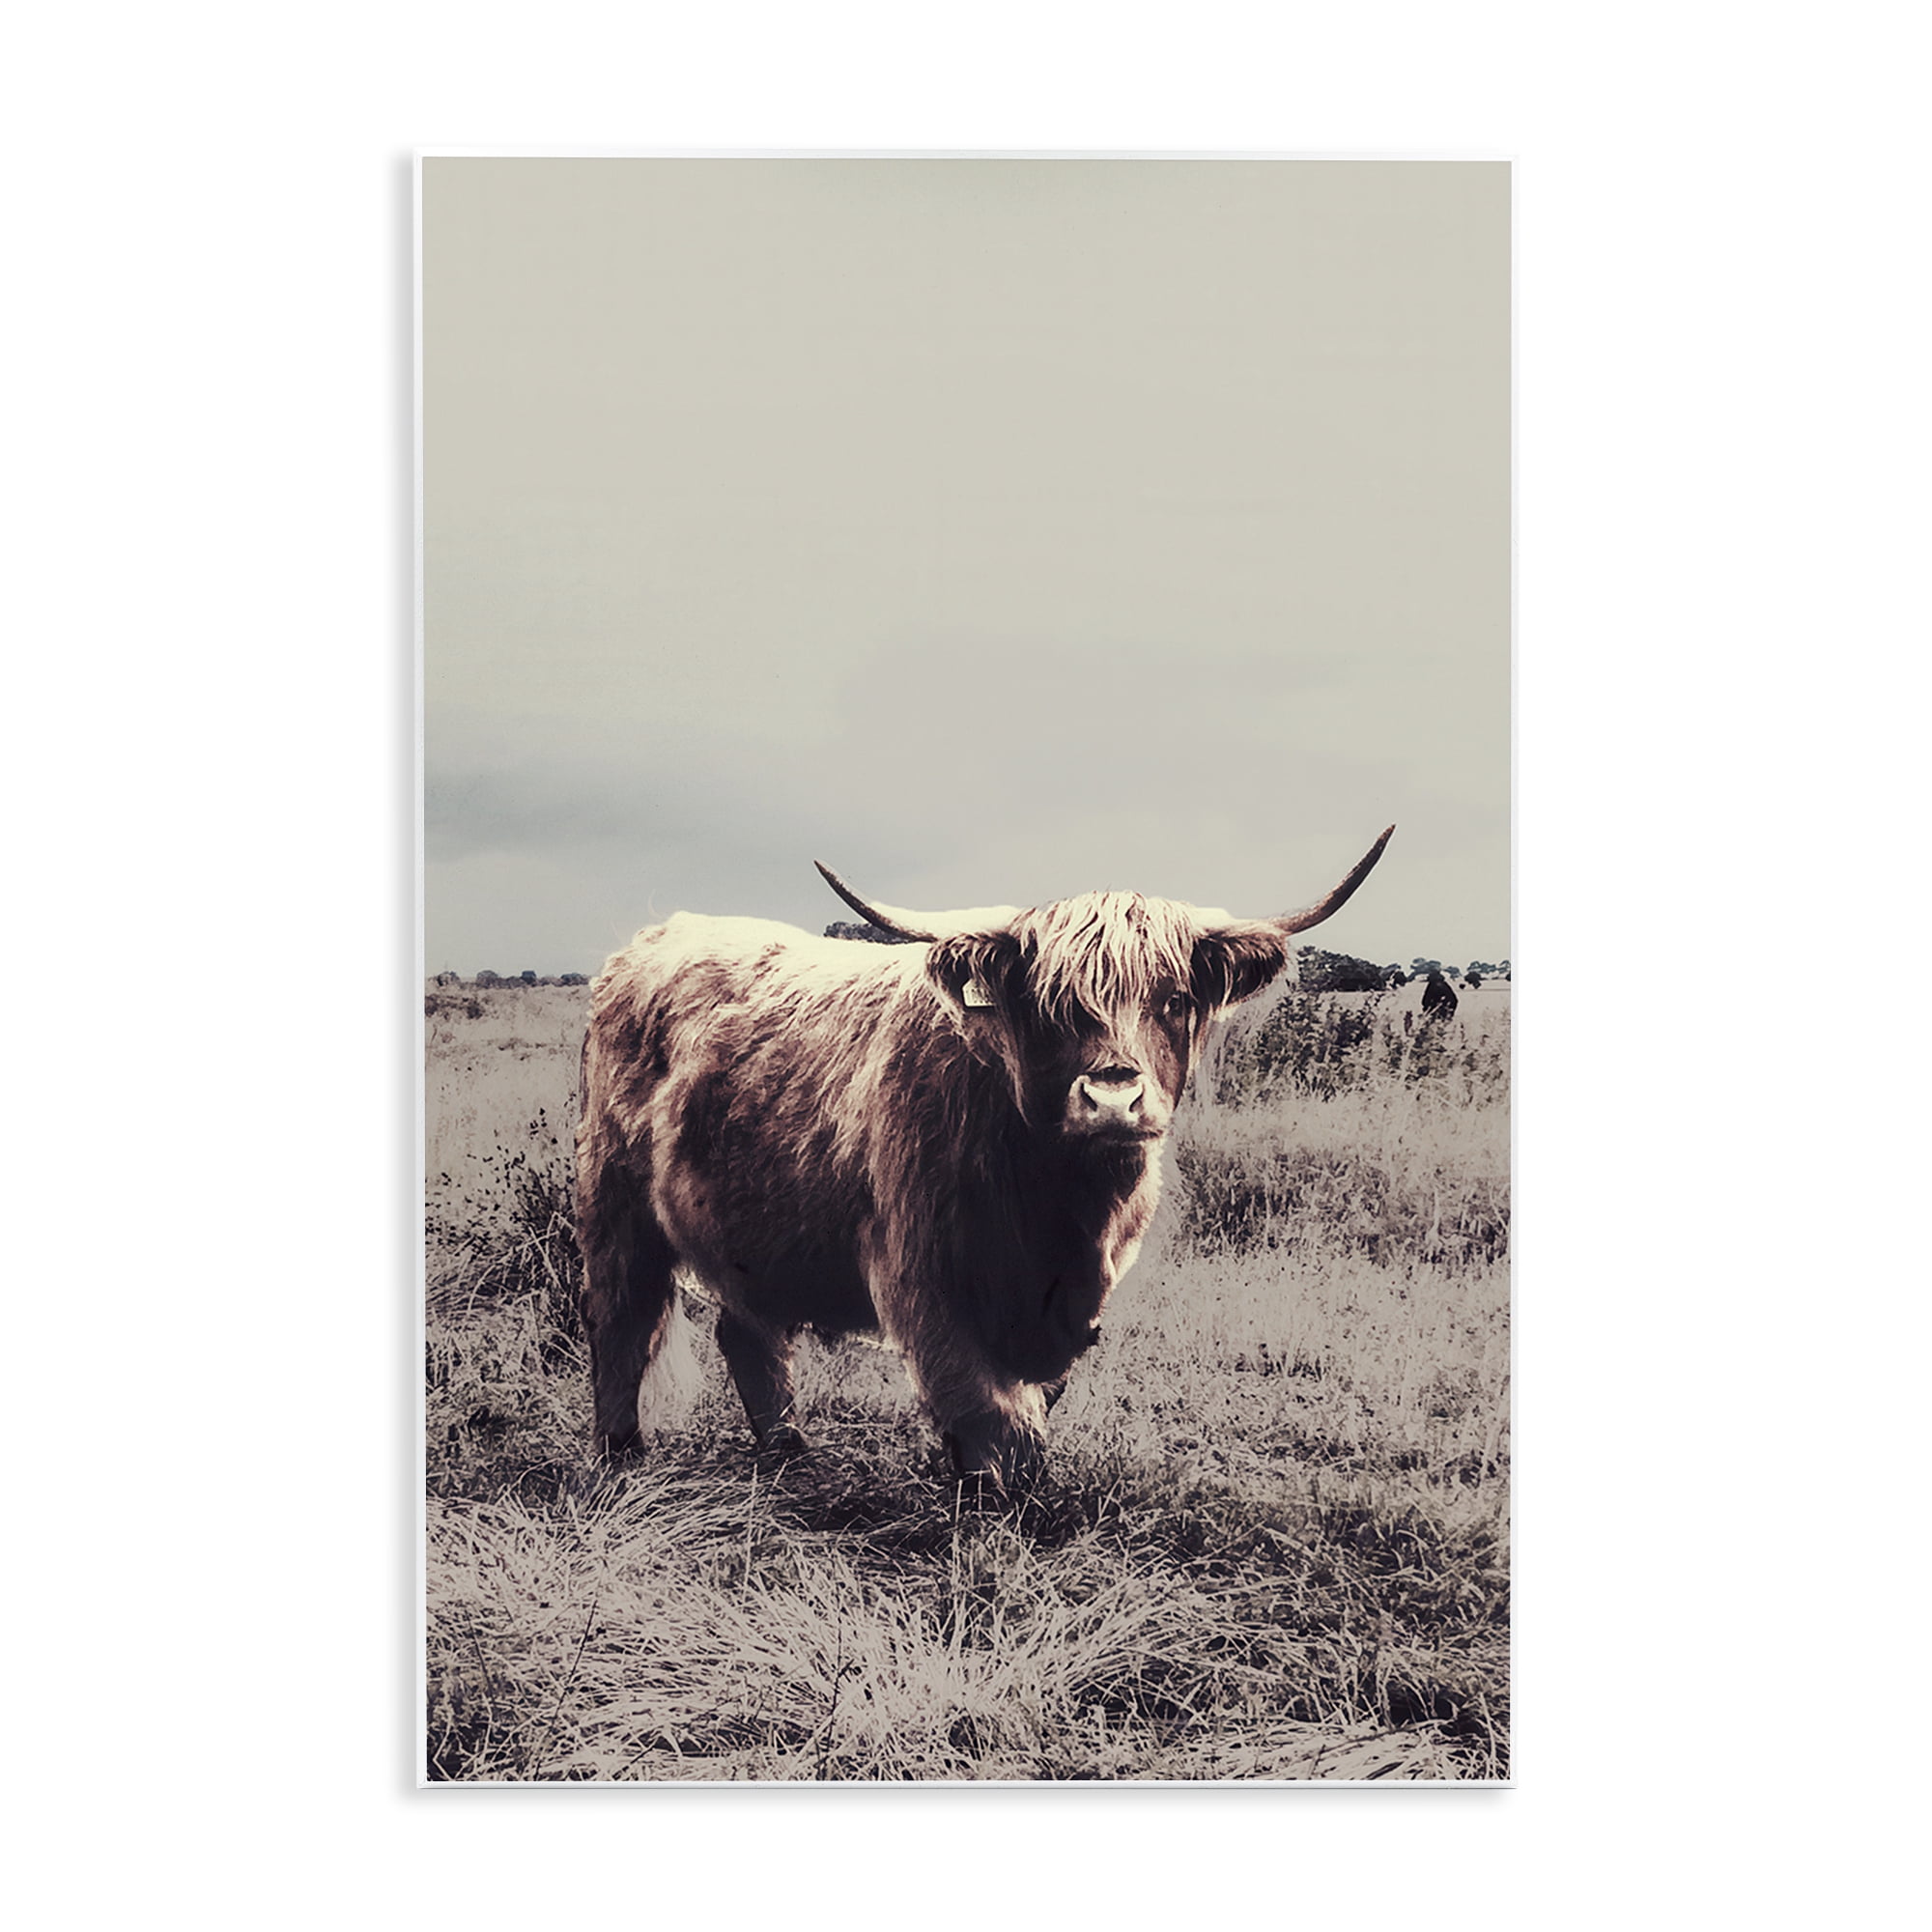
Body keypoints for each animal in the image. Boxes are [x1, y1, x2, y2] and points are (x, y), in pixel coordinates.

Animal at [576, 828, 1393, 1489]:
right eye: (1050, 1006)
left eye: (1171, 999)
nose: (1112, 1099)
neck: (1059, 1207)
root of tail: (652, 939)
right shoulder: (923, 1276)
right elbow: (987, 1409)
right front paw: (991, 1500)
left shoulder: (1076, 1301)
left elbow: (1031, 1400)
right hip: (614, 1202)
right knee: (621, 1320)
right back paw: (621, 1455)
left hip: (750, 1228)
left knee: (747, 1331)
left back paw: (788, 1453)